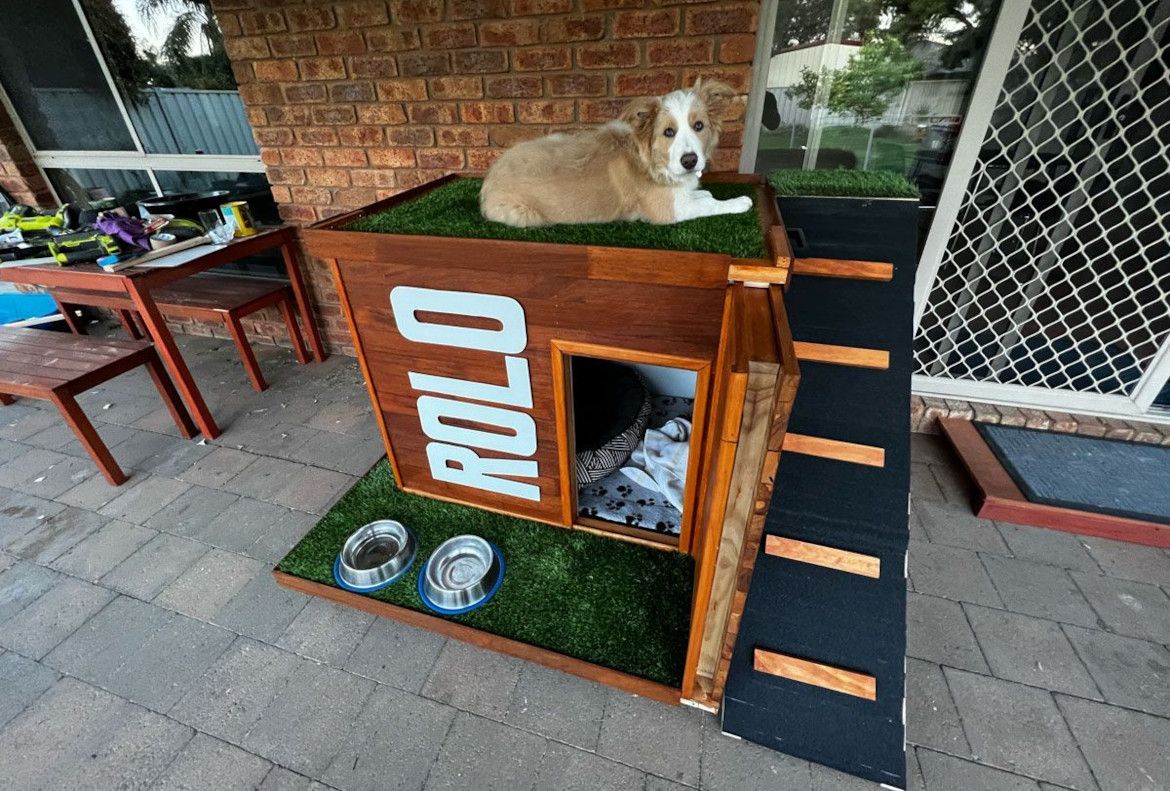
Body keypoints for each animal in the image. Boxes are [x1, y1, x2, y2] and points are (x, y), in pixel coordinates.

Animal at [479, 77, 753, 227]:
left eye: (699, 126)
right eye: (668, 132)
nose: (690, 161)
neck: (652, 160)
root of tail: (489, 179)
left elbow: (702, 196)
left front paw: (704, 192)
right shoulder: (669, 211)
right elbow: (710, 205)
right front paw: (739, 202)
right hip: (524, 214)